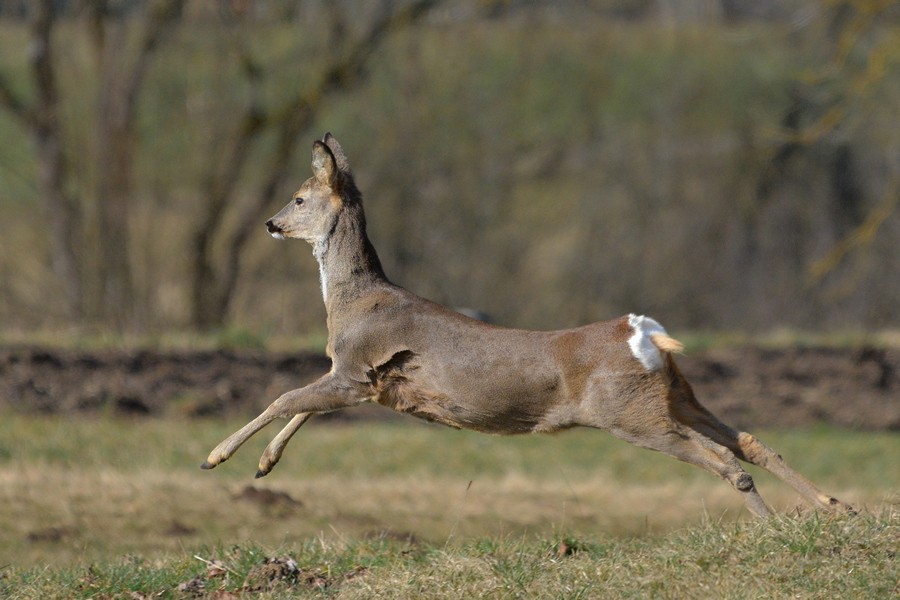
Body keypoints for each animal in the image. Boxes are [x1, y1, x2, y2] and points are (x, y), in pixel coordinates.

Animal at [200, 134, 856, 516]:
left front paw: (215, 457)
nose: (269, 224)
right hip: (677, 397)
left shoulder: (358, 368)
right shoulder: (364, 379)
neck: (355, 300)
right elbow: (303, 406)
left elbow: (285, 396)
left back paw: (774, 527)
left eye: (299, 198)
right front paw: (263, 465)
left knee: (725, 462)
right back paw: (834, 507)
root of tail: (644, 335)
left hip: (630, 413)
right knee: (749, 442)